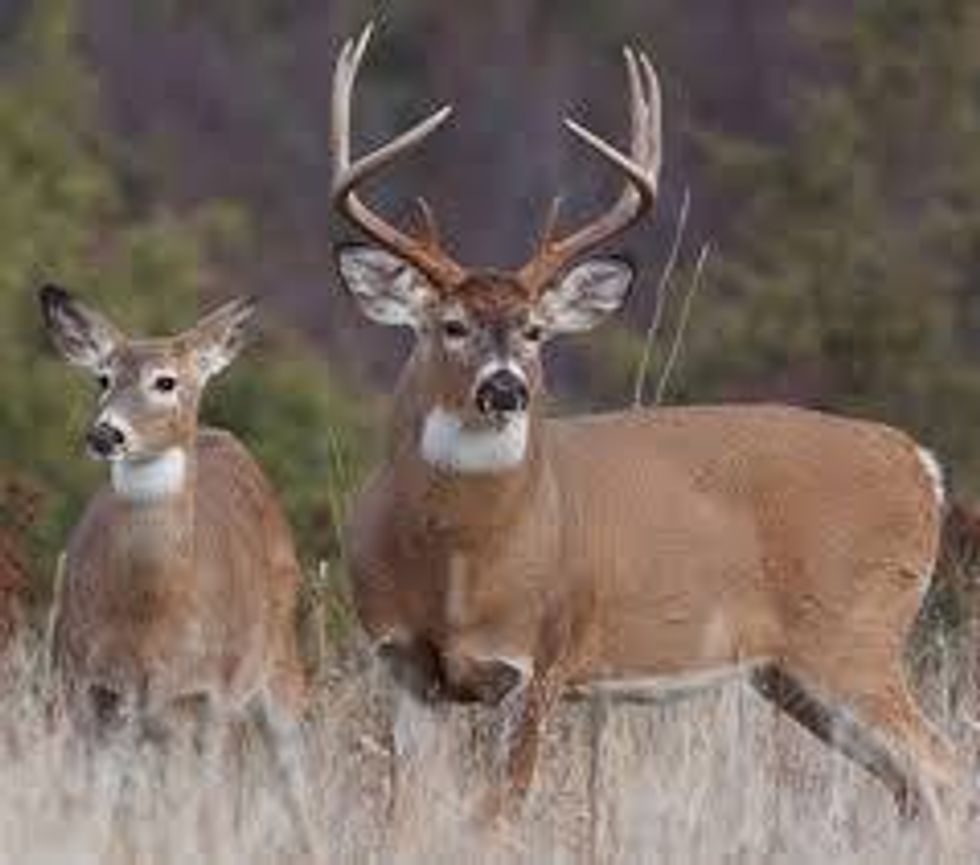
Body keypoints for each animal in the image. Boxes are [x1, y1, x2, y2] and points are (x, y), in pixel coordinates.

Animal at [39, 285, 311, 837]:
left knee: (294, 777)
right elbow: (93, 810)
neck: (153, 621)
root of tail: (223, 435)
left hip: (277, 658)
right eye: (103, 378)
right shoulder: (92, 688)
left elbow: (201, 813)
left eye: (165, 381)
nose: (105, 434)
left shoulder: (208, 698)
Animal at [331, 24, 962, 830]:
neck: (457, 564)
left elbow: (498, 817)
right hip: (794, 674)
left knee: (945, 768)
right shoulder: (402, 664)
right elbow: (408, 818)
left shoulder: (540, 657)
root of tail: (920, 464)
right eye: (451, 325)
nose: (504, 389)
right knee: (912, 782)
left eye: (534, 331)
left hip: (856, 635)